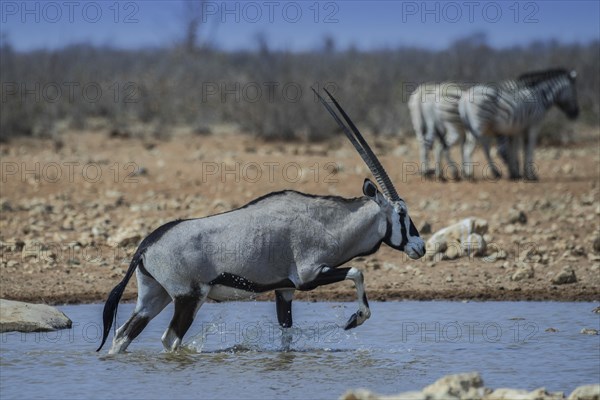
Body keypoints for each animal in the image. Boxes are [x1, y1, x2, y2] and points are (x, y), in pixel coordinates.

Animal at [97, 90, 426, 354]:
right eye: (401, 214)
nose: (420, 247)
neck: (325, 222)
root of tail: (146, 246)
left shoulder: (285, 290)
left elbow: (286, 336)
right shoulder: (309, 276)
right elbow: (358, 272)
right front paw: (354, 320)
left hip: (155, 297)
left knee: (122, 335)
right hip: (188, 298)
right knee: (169, 339)